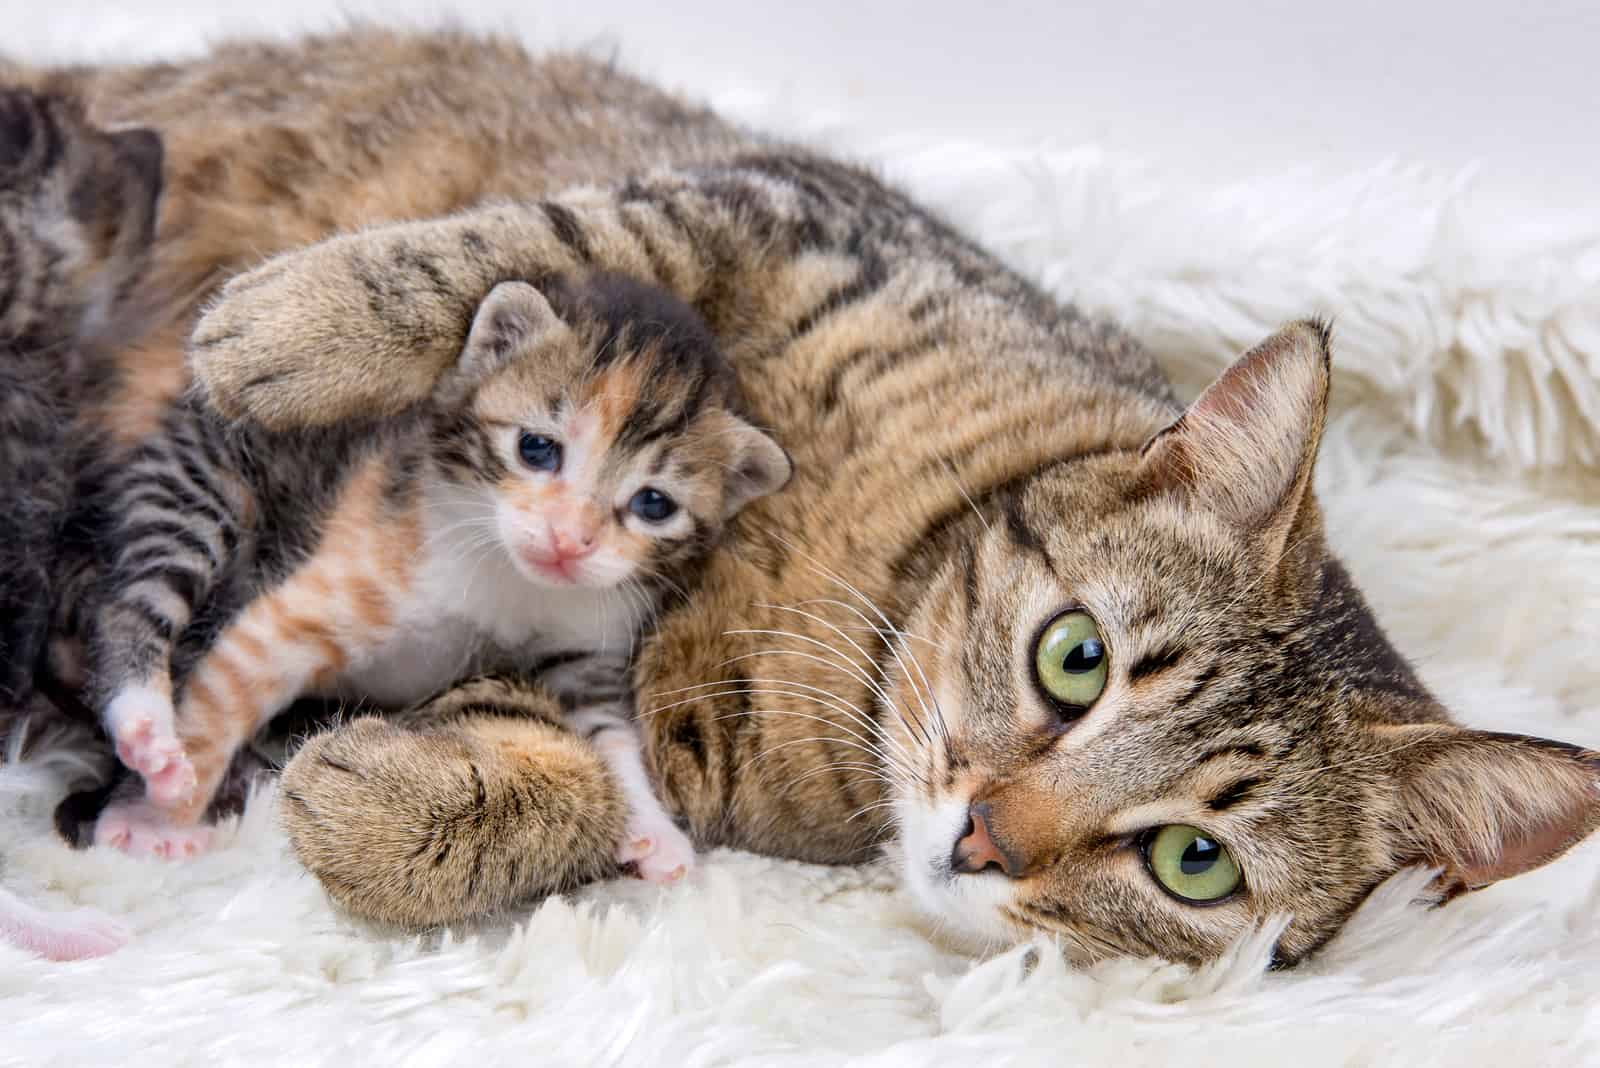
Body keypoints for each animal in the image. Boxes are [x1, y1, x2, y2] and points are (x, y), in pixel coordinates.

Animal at [86, 271, 787, 882]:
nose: (569, 540)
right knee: (131, 604)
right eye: (537, 448)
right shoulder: (314, 602)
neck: (510, 582)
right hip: (201, 489)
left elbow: (613, 737)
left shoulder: (588, 646)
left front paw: (655, 831)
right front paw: (161, 816)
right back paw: (144, 724)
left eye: (653, 504)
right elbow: (221, 701)